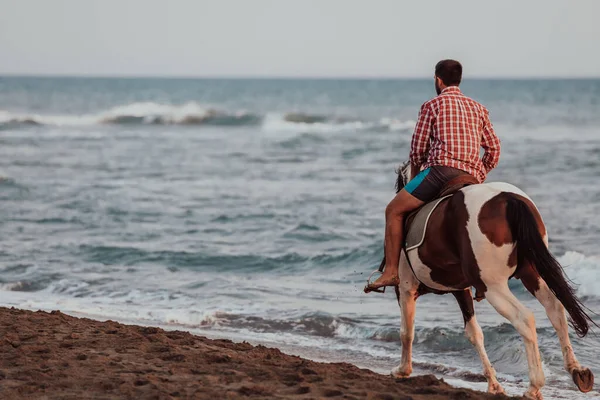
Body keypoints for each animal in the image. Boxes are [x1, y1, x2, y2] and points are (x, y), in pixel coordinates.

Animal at [380, 161, 596, 400]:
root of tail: (508, 199)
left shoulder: (405, 288)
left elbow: (406, 331)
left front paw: (403, 370)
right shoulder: (461, 289)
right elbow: (474, 333)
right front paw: (493, 384)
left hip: (494, 286)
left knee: (525, 319)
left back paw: (534, 385)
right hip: (531, 274)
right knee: (555, 309)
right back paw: (577, 371)